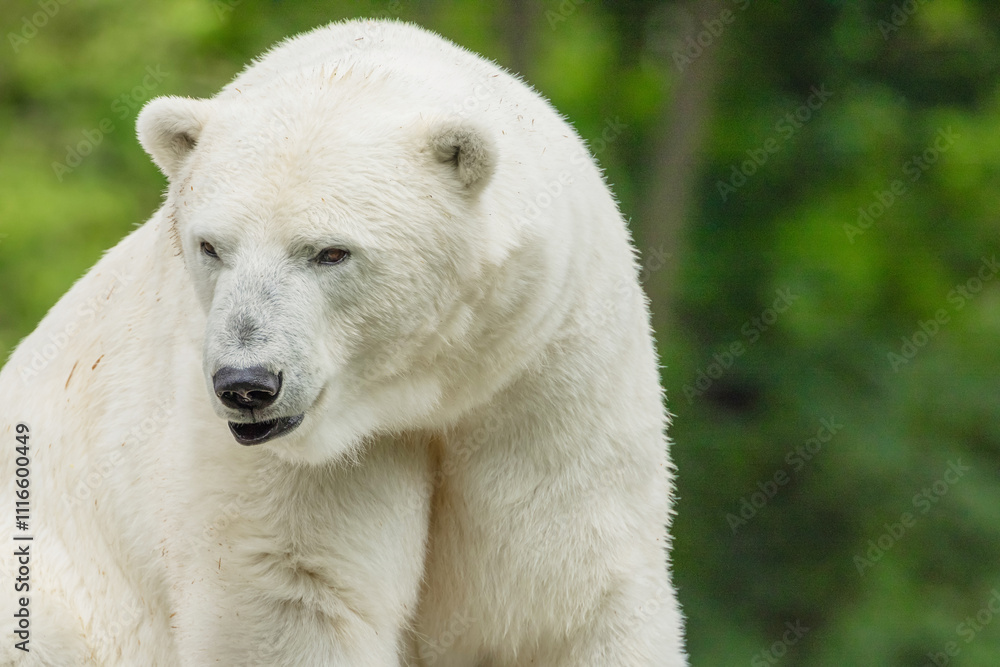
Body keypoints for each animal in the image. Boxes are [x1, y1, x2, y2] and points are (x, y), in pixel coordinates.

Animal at [0, 19, 687, 666]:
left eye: (330, 251)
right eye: (211, 246)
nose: (246, 385)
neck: (419, 392)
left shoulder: (544, 377)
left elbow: (564, 597)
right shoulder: (283, 457)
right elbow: (296, 590)